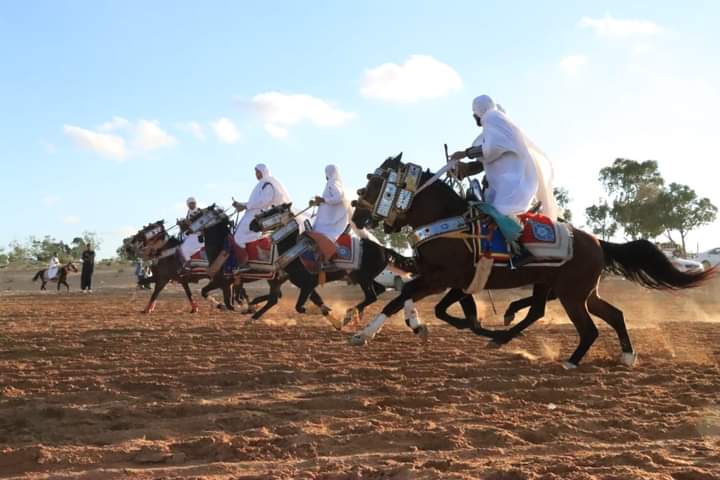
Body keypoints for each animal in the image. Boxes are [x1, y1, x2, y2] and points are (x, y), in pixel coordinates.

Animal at [348, 154, 716, 368]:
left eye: (376, 182)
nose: (356, 214)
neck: (448, 220)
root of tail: (597, 241)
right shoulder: (455, 282)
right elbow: (418, 301)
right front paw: (424, 326)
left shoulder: (443, 278)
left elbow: (402, 298)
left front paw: (363, 334)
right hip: (576, 291)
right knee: (608, 314)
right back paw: (625, 355)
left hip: (570, 294)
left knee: (588, 328)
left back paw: (569, 361)